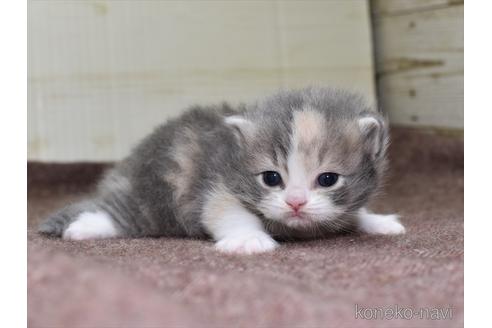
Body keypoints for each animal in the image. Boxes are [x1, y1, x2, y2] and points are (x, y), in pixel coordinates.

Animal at [38, 86, 406, 254]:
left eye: (328, 179)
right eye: (271, 178)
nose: (295, 202)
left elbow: (352, 213)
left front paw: (377, 221)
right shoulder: (218, 183)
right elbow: (224, 211)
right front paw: (249, 239)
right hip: (154, 198)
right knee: (126, 213)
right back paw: (86, 226)